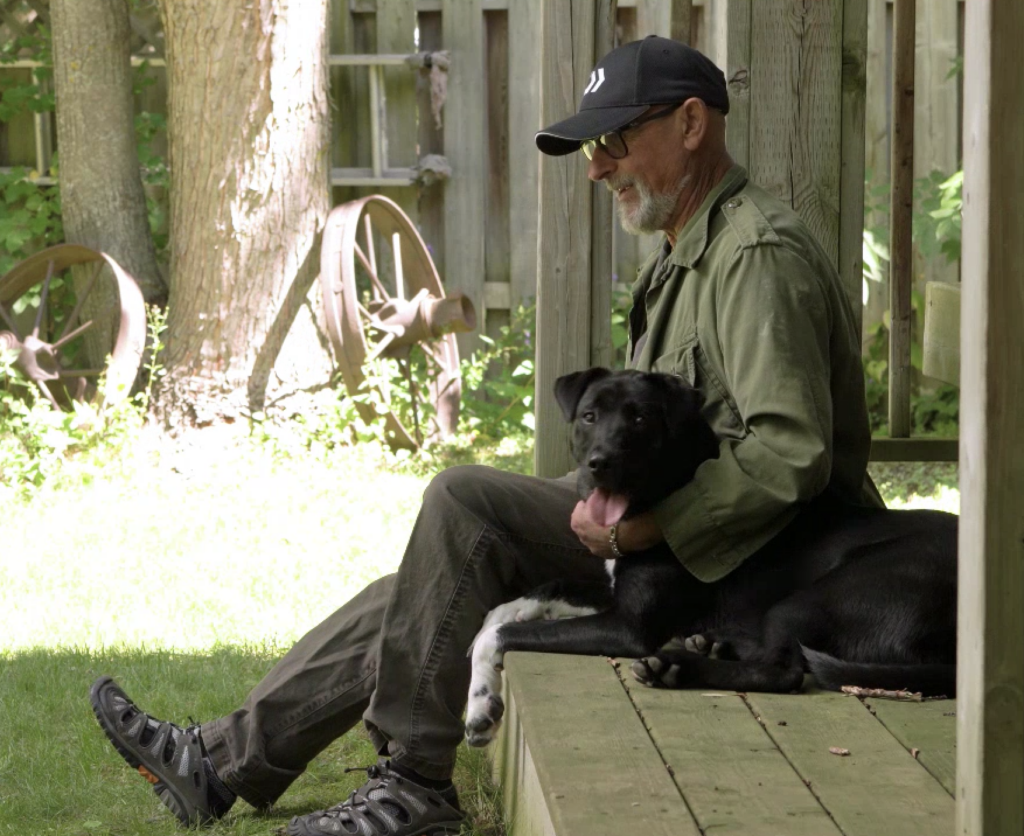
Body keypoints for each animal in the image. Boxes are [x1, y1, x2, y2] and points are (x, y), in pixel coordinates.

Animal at [464, 368, 958, 747]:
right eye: (589, 416)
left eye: (640, 418)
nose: (599, 464)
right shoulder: (614, 596)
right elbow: (520, 602)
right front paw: (483, 692)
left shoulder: (629, 627)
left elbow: (504, 633)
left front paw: (481, 699)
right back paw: (713, 643)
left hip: (823, 594)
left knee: (785, 670)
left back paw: (678, 666)